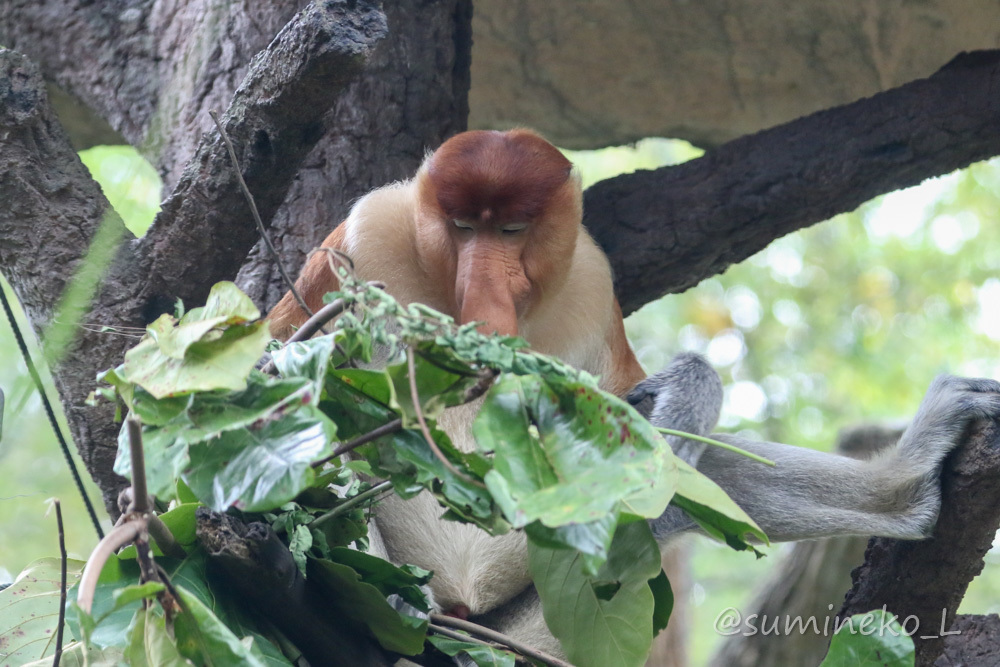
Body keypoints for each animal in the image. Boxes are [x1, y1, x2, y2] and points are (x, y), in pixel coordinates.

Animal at [272, 129, 1000, 656]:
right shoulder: (364, 234)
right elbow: (278, 361)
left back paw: (905, 488)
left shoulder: (591, 281)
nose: (484, 290)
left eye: (511, 230)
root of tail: (465, 607)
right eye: (461, 227)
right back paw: (392, 597)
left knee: (686, 481)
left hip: (550, 600)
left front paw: (688, 391)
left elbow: (632, 405)